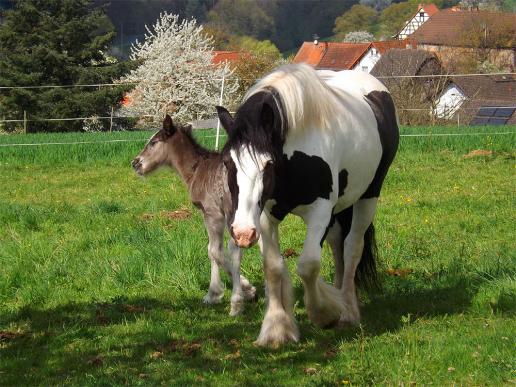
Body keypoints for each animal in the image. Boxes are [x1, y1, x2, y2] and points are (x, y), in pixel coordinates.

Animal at [216, 64, 402, 348]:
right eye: (228, 162)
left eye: (268, 164)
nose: (242, 233)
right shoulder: (265, 216)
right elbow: (273, 268)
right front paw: (276, 328)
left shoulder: (320, 212)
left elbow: (308, 266)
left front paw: (325, 313)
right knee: (338, 244)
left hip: (368, 196)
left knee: (352, 248)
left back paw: (348, 311)